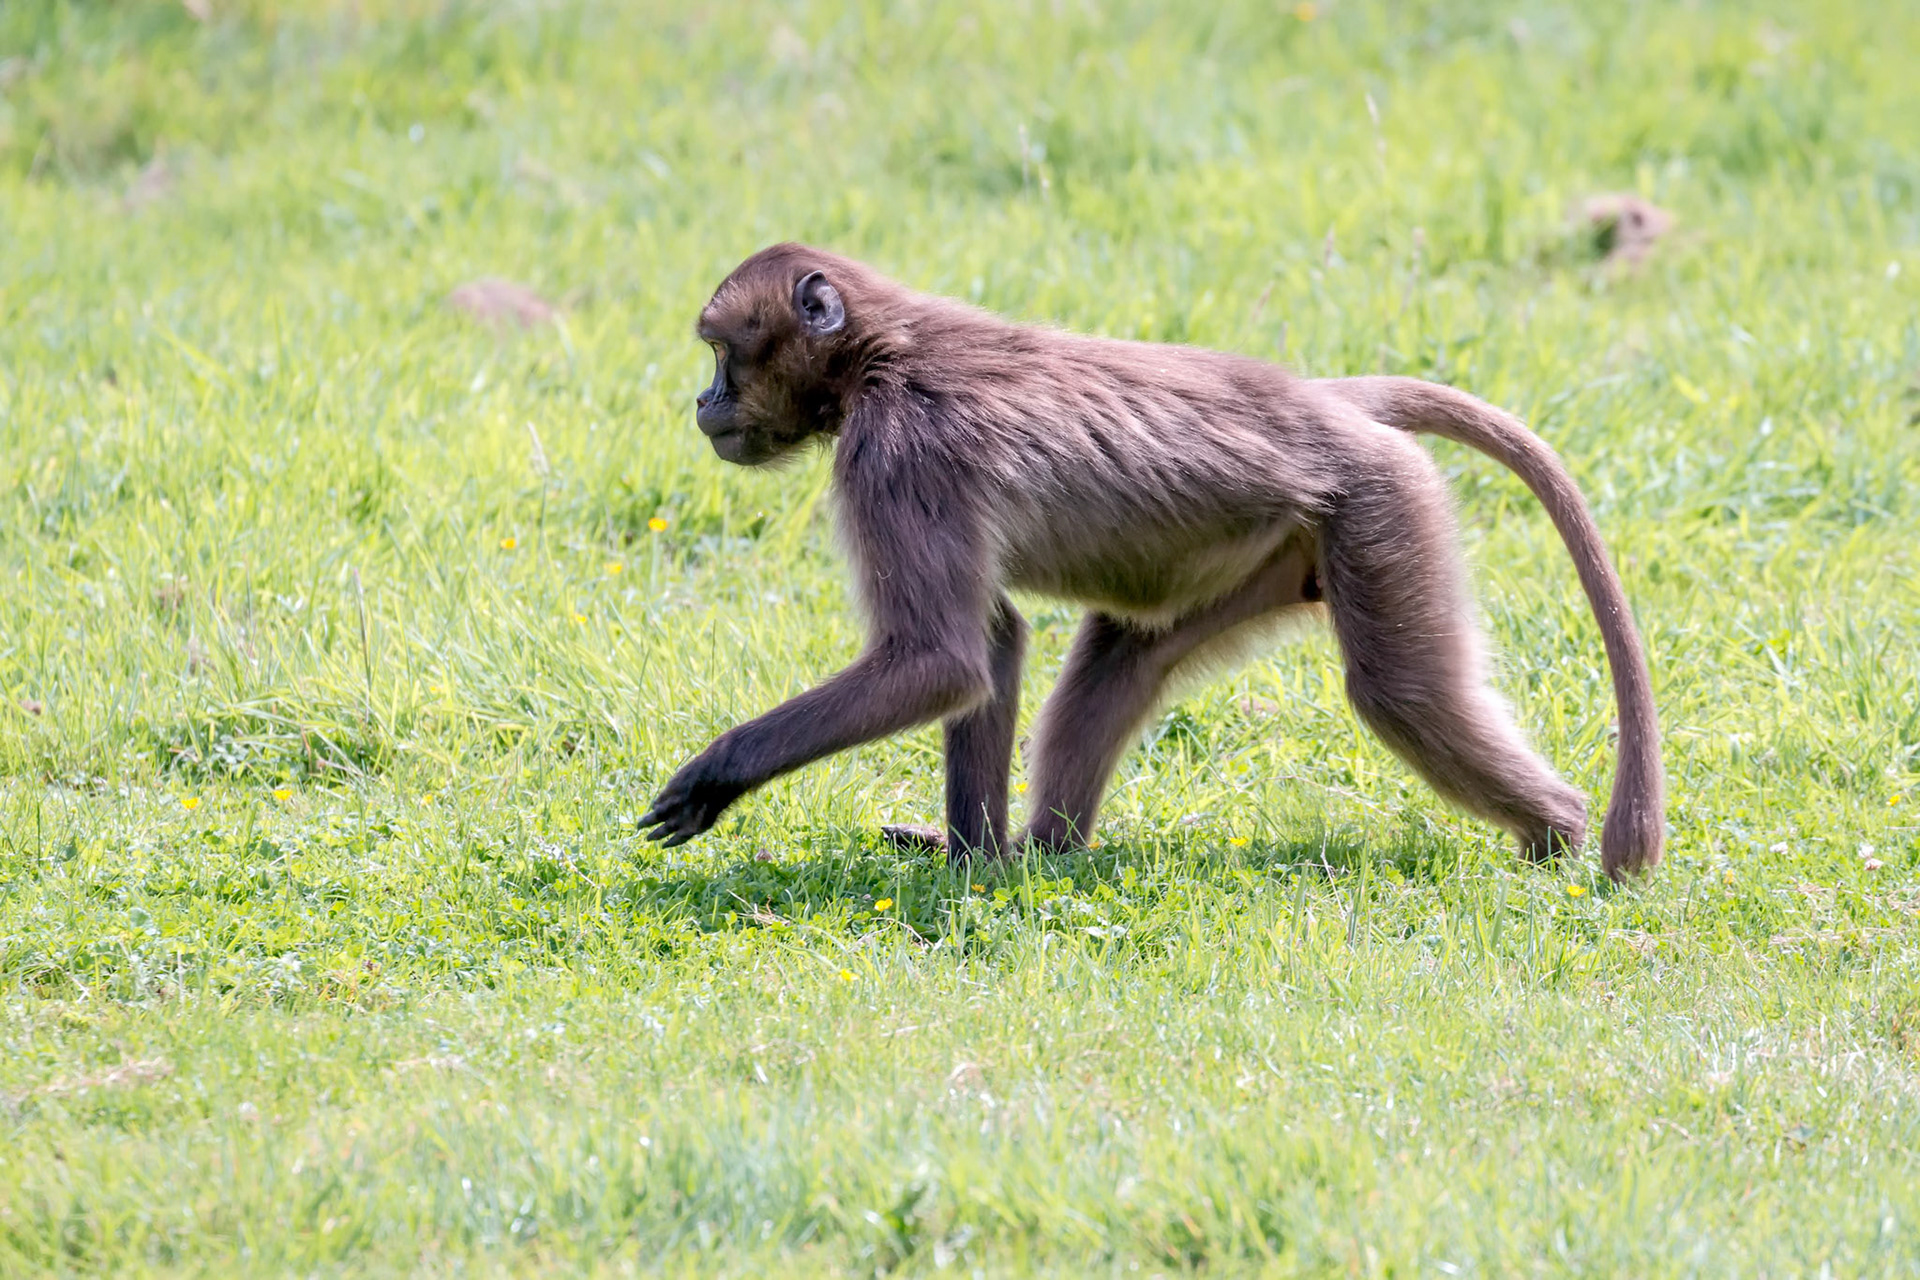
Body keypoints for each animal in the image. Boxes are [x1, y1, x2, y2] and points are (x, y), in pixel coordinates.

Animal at [638, 244, 1664, 878]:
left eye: (723, 354)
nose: (701, 402)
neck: (883, 349)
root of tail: (1325, 404)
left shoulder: (896, 454)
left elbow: (941, 660)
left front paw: (718, 774)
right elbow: (991, 645)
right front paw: (972, 866)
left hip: (1376, 507)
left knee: (1399, 691)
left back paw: (1560, 834)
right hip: (1270, 551)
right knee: (1118, 660)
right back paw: (1043, 858)